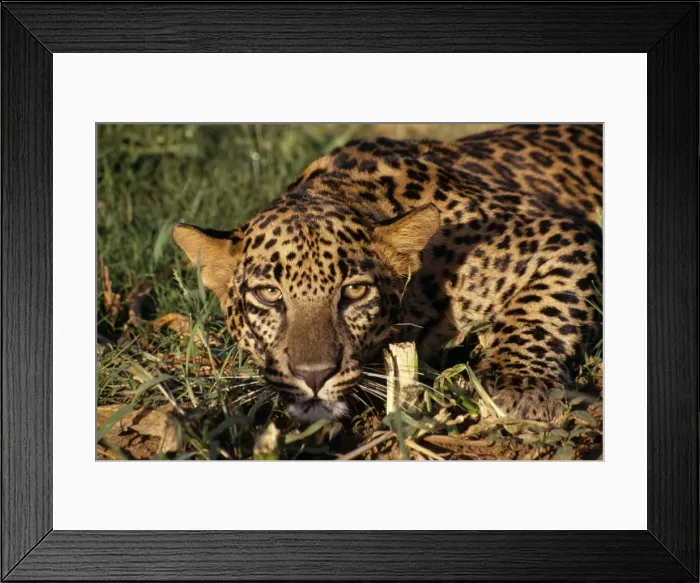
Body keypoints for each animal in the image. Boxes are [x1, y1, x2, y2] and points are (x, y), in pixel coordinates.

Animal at [173, 124, 602, 423]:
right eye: (269, 294)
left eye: (355, 291)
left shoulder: (558, 236)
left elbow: (538, 314)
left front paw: (521, 387)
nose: (315, 376)